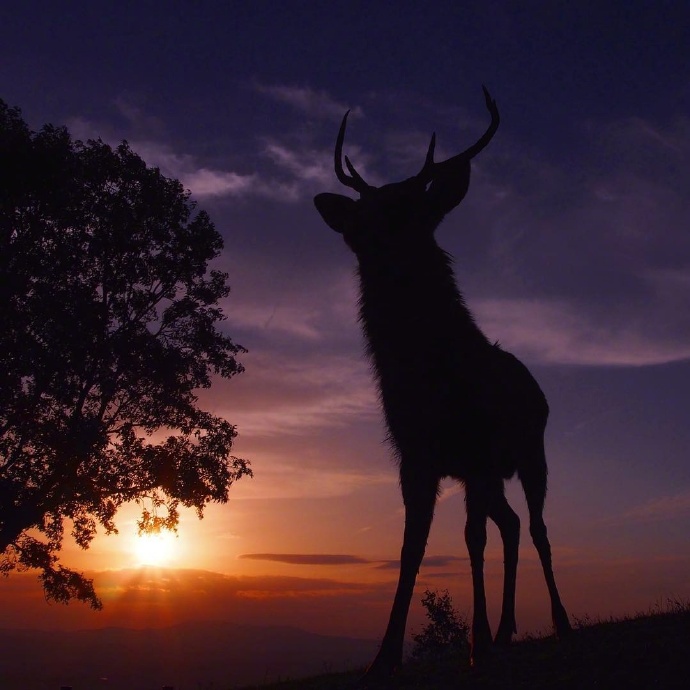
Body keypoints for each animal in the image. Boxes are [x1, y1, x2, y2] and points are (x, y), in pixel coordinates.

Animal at [314, 86, 568, 676]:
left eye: (408, 208)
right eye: (364, 209)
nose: (360, 232)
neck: (430, 386)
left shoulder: (476, 450)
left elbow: (470, 540)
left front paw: (474, 646)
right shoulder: (416, 456)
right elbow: (412, 547)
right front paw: (384, 657)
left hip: (529, 452)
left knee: (537, 528)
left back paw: (558, 622)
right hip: (494, 474)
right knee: (512, 524)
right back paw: (505, 629)